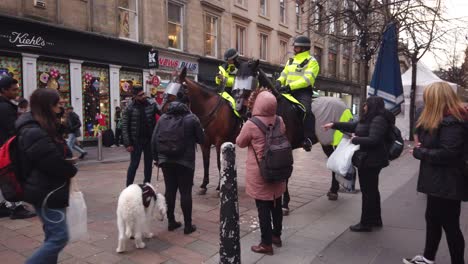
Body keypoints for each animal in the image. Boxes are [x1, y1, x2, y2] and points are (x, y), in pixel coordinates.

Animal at [176, 66, 241, 194]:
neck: (210, 109)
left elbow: (219, 163)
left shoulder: (219, 141)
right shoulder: (204, 142)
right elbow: (206, 163)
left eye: (179, 91)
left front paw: (219, 186)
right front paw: (204, 185)